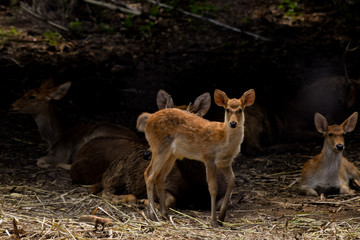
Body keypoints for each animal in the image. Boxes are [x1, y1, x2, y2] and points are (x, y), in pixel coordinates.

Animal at [71, 89, 225, 210]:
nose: (148, 154)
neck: (196, 184)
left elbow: (220, 203)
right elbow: (171, 200)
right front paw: (146, 201)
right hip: (117, 173)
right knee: (105, 191)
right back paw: (131, 199)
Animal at [141, 89, 256, 228]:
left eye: (240, 110)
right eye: (227, 109)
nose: (233, 123)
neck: (223, 139)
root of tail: (148, 120)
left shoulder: (225, 162)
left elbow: (232, 181)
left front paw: (221, 218)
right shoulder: (209, 158)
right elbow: (213, 188)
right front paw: (213, 221)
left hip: (171, 154)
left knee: (160, 177)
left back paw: (164, 214)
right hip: (159, 147)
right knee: (149, 174)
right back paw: (153, 215)